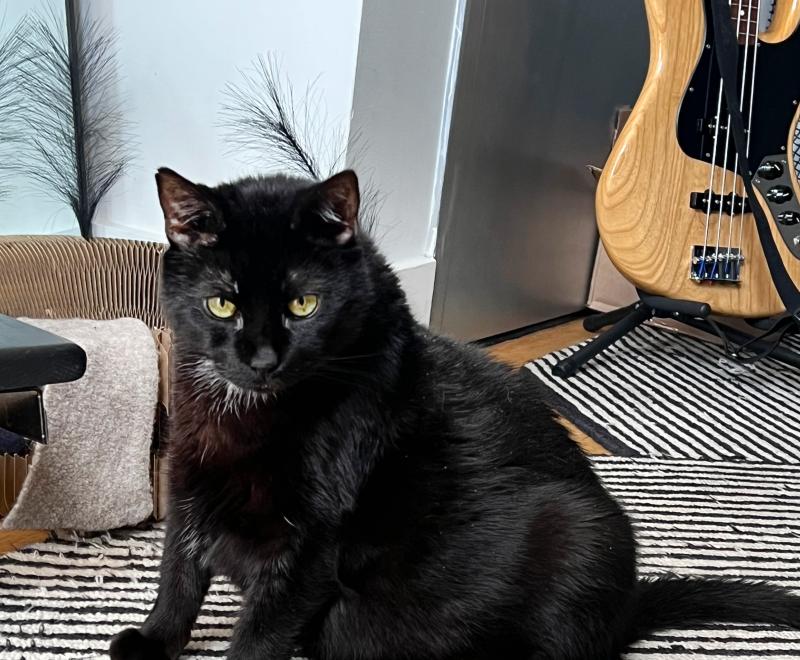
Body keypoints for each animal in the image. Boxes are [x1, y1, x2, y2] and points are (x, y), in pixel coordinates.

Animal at [109, 168, 796, 656]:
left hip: (583, 534)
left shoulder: (311, 542)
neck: (242, 415)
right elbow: (178, 571)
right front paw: (152, 641)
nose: (261, 358)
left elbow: (259, 635)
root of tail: (623, 612)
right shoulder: (192, 476)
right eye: (222, 304)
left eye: (303, 304)